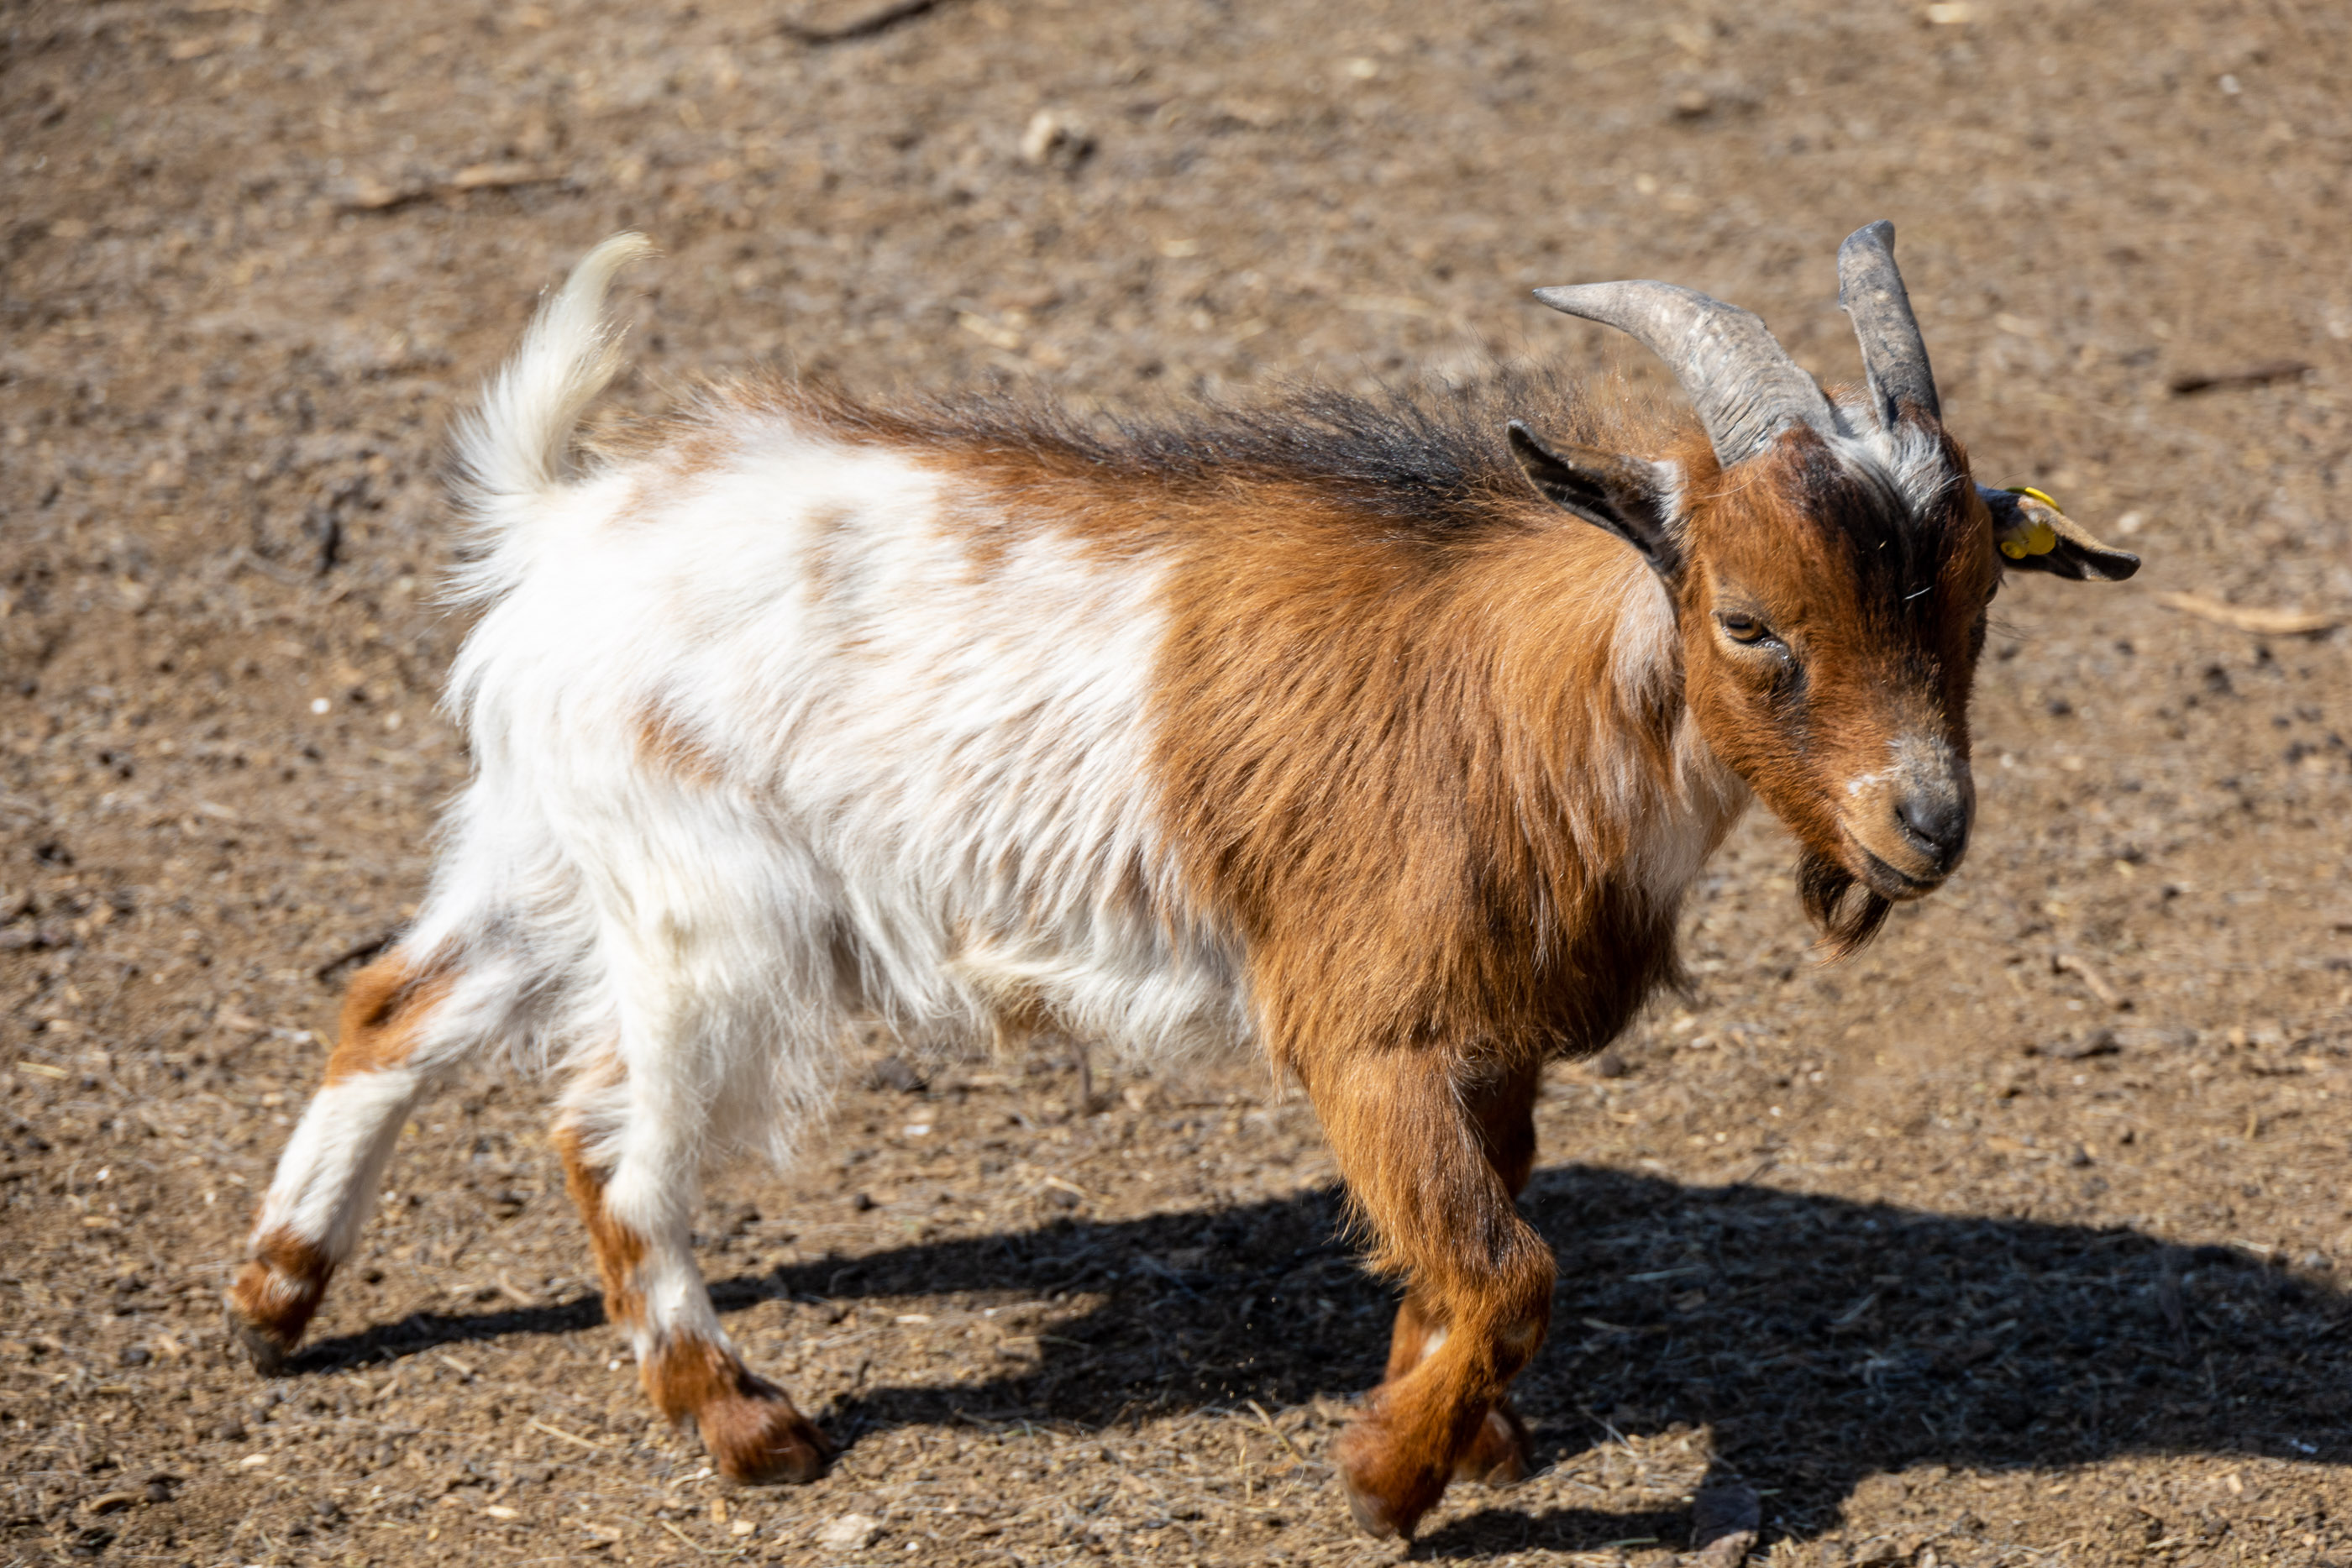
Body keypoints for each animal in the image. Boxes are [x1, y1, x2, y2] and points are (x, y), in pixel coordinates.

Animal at [226, 222, 2136, 1538]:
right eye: (1747, 620)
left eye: (1978, 601)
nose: (1925, 825)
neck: (1529, 694)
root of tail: (562, 527)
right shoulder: (1365, 1022)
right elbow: (1504, 1267)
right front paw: (1384, 1482)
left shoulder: (1483, 1036)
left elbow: (1456, 1246)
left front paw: (1466, 1438)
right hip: (711, 909)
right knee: (612, 1136)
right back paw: (749, 1427)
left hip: (547, 841)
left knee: (394, 1003)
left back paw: (275, 1296)